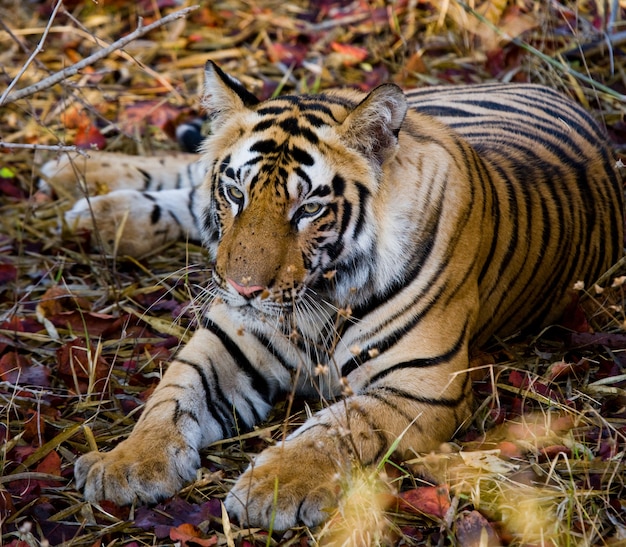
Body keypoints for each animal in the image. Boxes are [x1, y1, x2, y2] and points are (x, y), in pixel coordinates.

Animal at [42, 61, 620, 532]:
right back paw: (79, 180)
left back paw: (93, 206)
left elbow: (339, 427)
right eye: (235, 193)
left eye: (308, 210)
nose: (242, 288)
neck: (319, 298)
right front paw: (125, 464)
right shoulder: (229, 340)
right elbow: (170, 396)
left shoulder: (422, 386)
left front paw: (274, 487)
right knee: (188, 171)